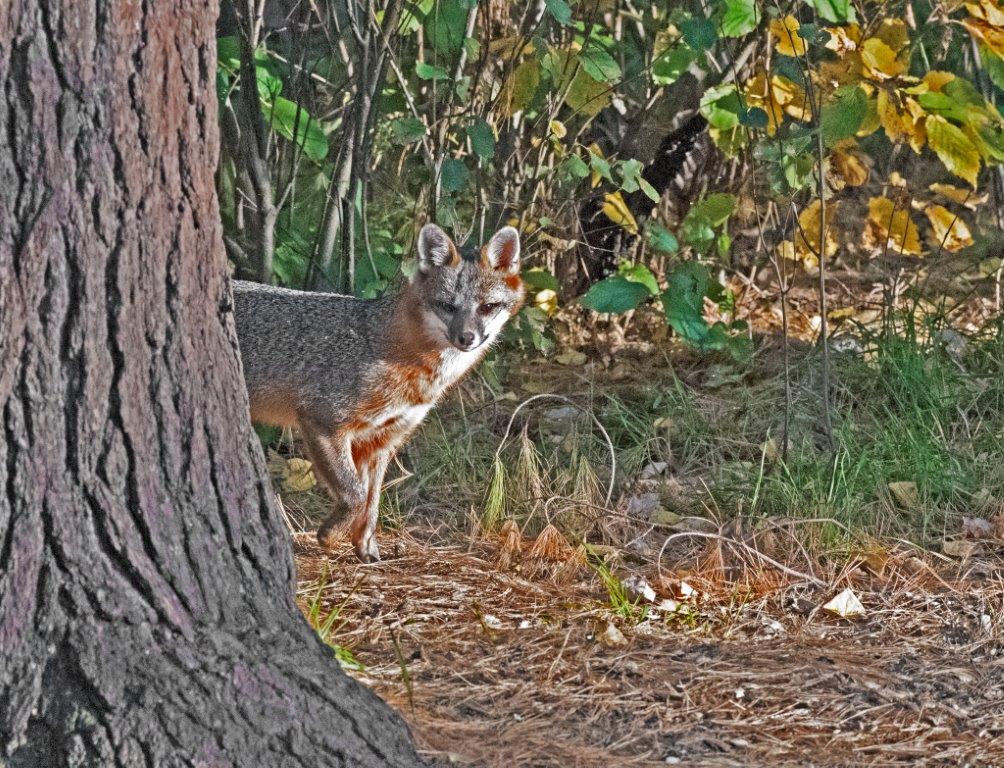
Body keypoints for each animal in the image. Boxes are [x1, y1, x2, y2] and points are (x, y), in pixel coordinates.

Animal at [233, 224, 524, 562]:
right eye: (447, 306)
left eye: (487, 307)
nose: (466, 338)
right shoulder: (323, 423)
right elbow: (355, 493)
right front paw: (330, 534)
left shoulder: (380, 441)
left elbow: (372, 503)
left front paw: (365, 547)